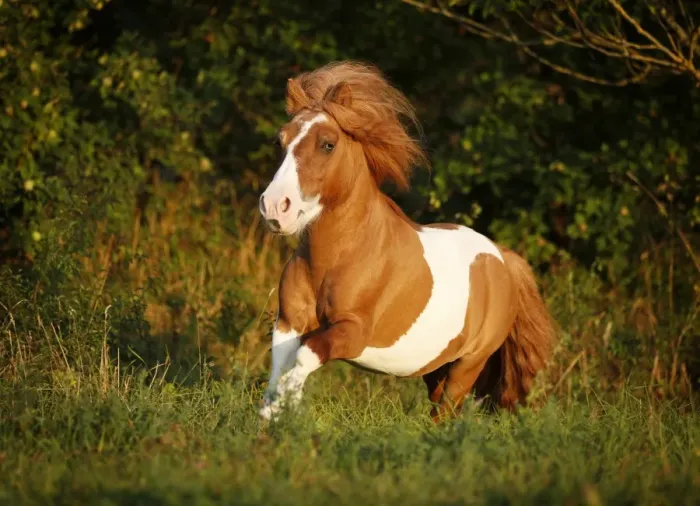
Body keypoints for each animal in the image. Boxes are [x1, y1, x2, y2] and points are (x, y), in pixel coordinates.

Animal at [257, 61, 557, 422]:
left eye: (327, 144)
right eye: (280, 142)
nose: (275, 207)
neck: (336, 258)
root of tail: (503, 258)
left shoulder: (353, 332)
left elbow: (304, 359)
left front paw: (289, 407)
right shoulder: (288, 322)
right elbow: (278, 370)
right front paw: (270, 418)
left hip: (468, 364)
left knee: (447, 413)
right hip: (438, 368)